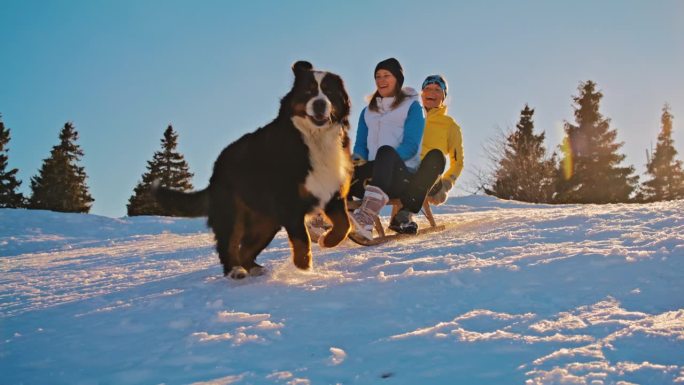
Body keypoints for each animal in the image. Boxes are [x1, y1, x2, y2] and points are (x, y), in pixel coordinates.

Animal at [156, 60, 352, 278]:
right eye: (308, 91)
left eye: (329, 91)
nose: (319, 103)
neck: (314, 139)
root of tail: (217, 166)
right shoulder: (289, 201)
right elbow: (302, 238)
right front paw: (303, 267)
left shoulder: (332, 191)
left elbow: (344, 225)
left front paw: (327, 240)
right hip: (233, 212)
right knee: (229, 245)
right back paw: (235, 270)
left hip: (266, 221)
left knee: (245, 249)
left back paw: (255, 268)